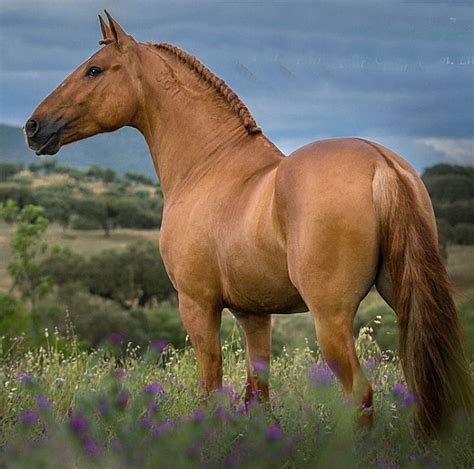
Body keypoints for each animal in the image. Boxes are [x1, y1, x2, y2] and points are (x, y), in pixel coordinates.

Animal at [25, 11, 470, 436]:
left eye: (94, 70)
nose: (33, 127)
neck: (210, 165)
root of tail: (380, 162)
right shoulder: (253, 315)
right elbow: (257, 396)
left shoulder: (198, 305)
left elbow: (211, 386)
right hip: (403, 302)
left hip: (330, 318)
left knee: (360, 395)